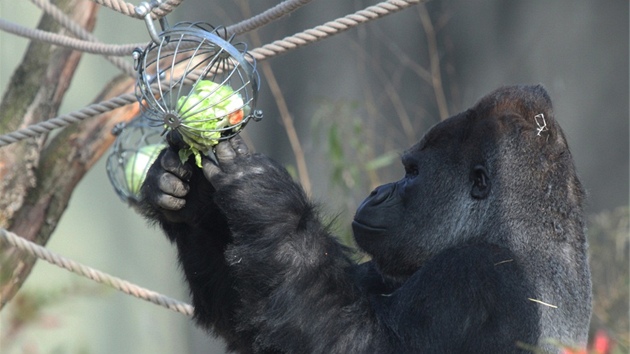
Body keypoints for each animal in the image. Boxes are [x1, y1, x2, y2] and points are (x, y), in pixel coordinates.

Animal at [137, 84, 592, 352]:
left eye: (411, 172)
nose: (377, 192)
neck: (506, 228)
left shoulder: (476, 275)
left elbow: (361, 343)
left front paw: (267, 203)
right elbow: (256, 316)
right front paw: (188, 198)